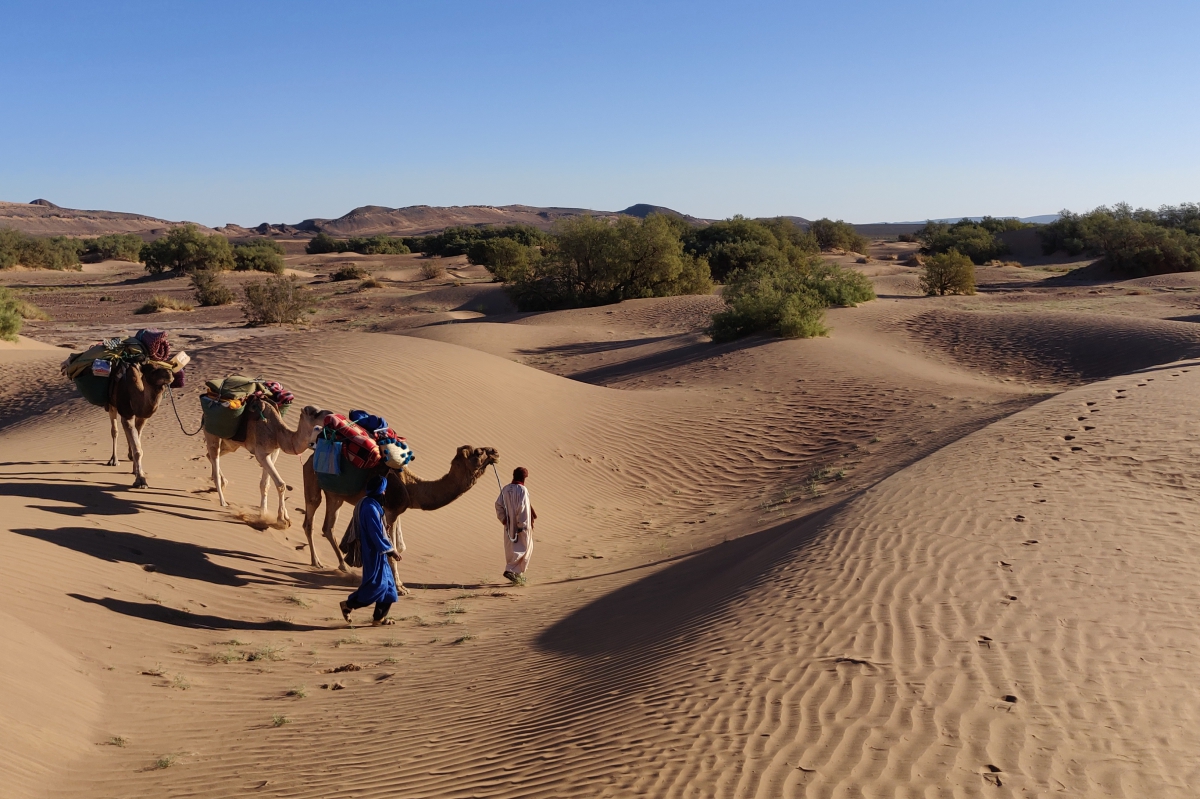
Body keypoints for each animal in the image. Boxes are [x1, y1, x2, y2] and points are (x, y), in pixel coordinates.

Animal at [307, 441, 504, 585]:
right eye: (479, 452)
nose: (496, 452)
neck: (411, 487)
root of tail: (312, 455)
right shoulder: (391, 511)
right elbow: (391, 548)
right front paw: (399, 587)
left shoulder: (396, 513)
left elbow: (394, 546)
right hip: (312, 478)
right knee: (310, 519)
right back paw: (317, 562)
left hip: (335, 496)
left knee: (328, 527)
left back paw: (342, 566)